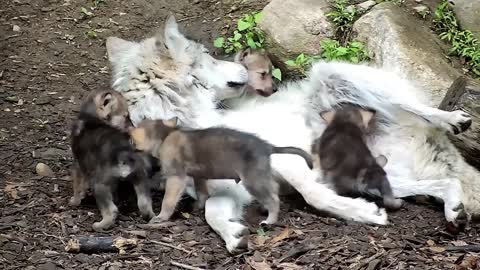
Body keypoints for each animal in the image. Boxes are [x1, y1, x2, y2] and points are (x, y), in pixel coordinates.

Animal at [106, 16, 480, 253]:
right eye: (209, 58)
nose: (243, 66)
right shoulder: (229, 189)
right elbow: (213, 212)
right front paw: (234, 235)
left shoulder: (286, 159)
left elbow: (313, 195)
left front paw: (361, 214)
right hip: (376, 174)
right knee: (446, 183)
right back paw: (454, 211)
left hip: (335, 74)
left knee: (411, 103)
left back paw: (453, 119)